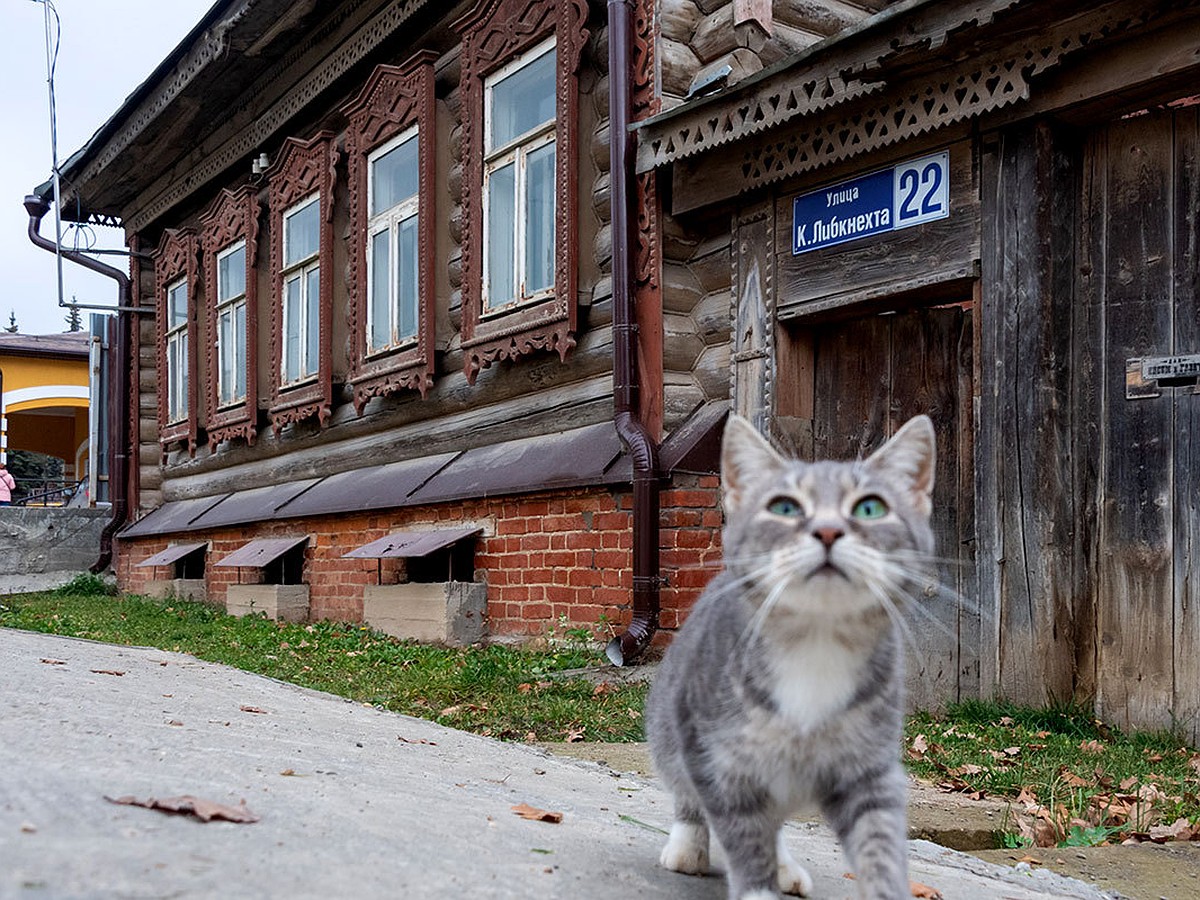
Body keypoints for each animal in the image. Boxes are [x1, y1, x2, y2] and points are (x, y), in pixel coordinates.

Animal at [648, 415, 936, 900]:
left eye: (870, 508)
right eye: (784, 507)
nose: (827, 531)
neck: (816, 644)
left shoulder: (868, 767)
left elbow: (878, 838)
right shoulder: (719, 760)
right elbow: (745, 834)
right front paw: (757, 887)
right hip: (673, 723)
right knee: (688, 793)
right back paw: (688, 847)